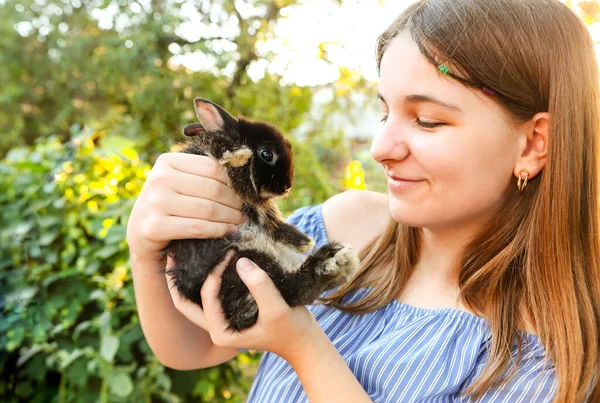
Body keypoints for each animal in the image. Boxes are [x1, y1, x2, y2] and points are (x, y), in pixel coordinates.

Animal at [163, 98, 360, 332]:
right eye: (267, 154)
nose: (287, 186)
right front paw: (239, 154)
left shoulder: (254, 203)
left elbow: (271, 219)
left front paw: (303, 242)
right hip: (244, 260)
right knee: (291, 291)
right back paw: (334, 260)